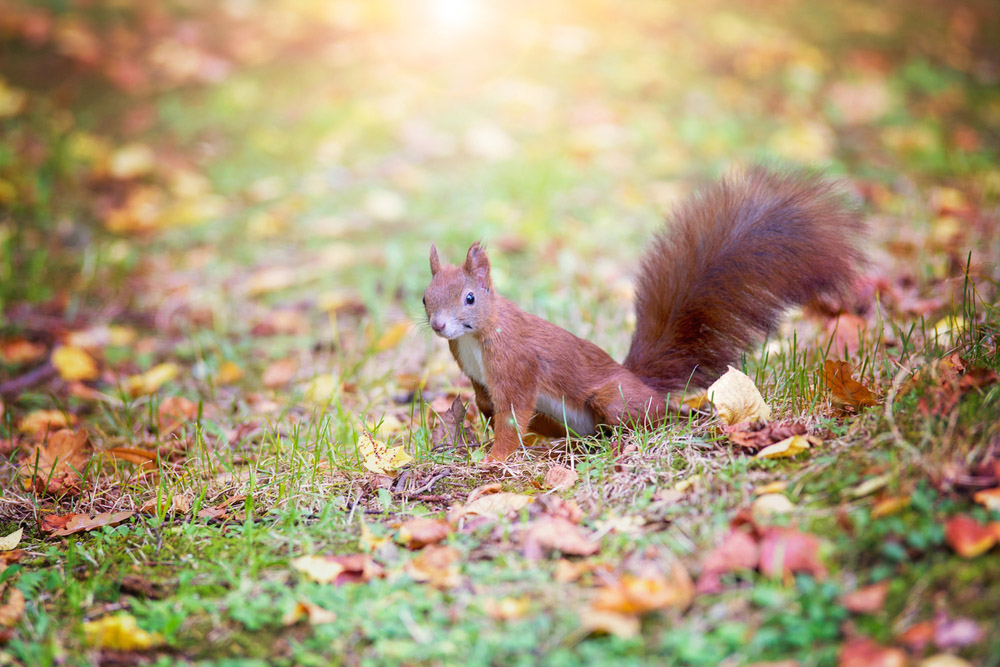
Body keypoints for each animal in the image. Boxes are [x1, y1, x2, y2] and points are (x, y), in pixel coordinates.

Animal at [422, 166, 864, 461]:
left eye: (469, 298)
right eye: (425, 299)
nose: (439, 325)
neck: (475, 338)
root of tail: (644, 385)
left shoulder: (517, 366)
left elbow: (512, 417)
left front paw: (494, 459)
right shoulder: (479, 379)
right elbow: (490, 408)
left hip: (612, 398)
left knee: (647, 421)